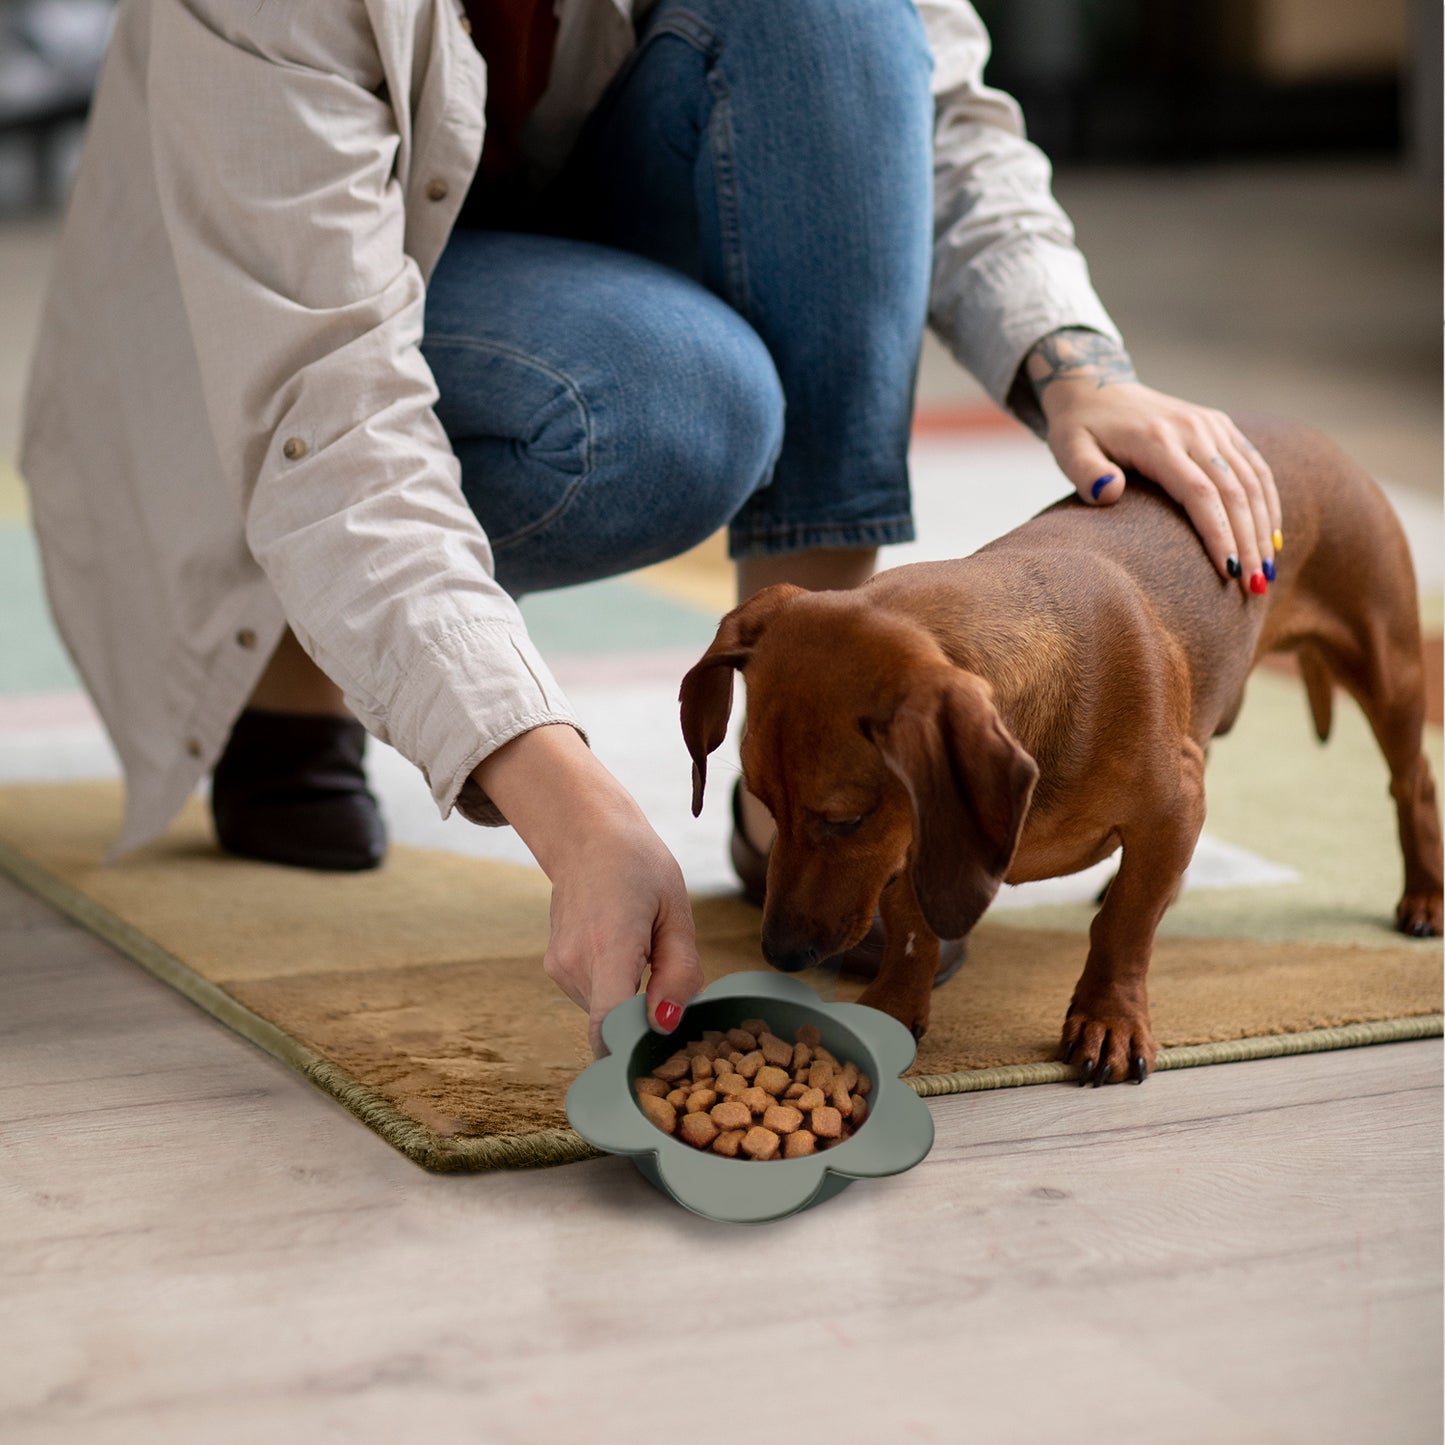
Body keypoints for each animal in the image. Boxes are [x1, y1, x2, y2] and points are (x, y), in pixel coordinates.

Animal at [679, 419, 1445, 1086]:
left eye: (844, 819)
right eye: (762, 802)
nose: (779, 953)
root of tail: (1311, 435)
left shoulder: (1172, 806)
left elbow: (1124, 928)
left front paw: (1109, 1020)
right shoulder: (918, 840)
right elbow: (912, 928)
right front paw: (895, 1008)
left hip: (1389, 668)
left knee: (1411, 783)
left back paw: (1425, 896)